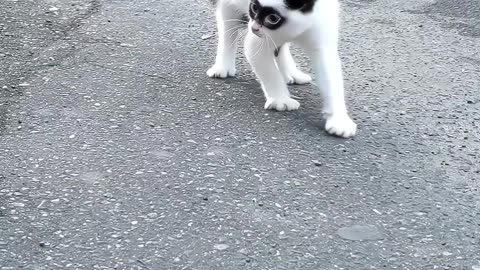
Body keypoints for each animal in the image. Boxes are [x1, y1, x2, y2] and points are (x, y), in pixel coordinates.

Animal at [208, 0, 358, 138]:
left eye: (273, 18)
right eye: (254, 7)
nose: (254, 28)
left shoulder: (322, 34)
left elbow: (331, 77)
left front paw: (339, 120)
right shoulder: (257, 41)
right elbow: (269, 70)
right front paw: (281, 100)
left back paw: (291, 73)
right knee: (227, 27)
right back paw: (223, 66)